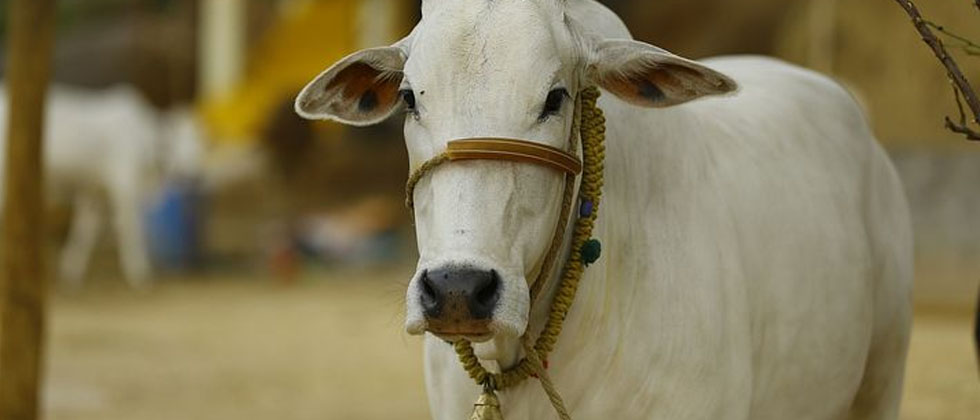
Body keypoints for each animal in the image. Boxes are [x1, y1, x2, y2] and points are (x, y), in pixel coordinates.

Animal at [0, 84, 204, 288]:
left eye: (200, 142)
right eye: (173, 142)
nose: (194, 174)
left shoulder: (94, 191)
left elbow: (86, 229)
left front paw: (71, 270)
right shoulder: (124, 187)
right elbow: (131, 229)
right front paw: (140, 273)